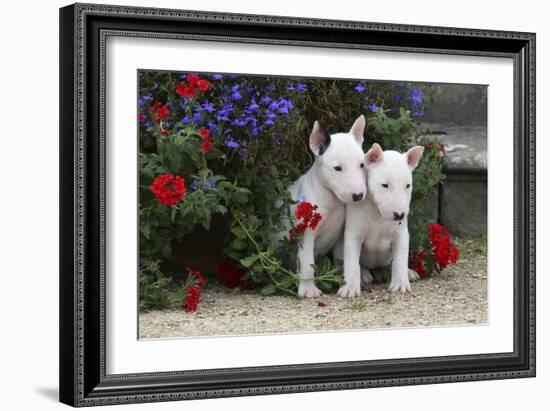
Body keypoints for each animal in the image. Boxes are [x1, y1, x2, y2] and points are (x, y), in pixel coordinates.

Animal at [288, 116, 370, 300]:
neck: (333, 199)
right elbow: (307, 261)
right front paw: (308, 289)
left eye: (361, 165)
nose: (358, 195)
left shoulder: (340, 234)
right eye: (337, 168)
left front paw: (345, 282)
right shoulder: (306, 233)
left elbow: (342, 259)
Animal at [336, 143, 426, 298]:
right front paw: (350, 288)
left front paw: (400, 284)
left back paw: (409, 273)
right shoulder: (353, 235)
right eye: (385, 185)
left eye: (408, 185)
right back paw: (364, 276)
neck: (378, 214)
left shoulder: (401, 235)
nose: (399, 215)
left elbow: (400, 260)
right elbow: (352, 262)